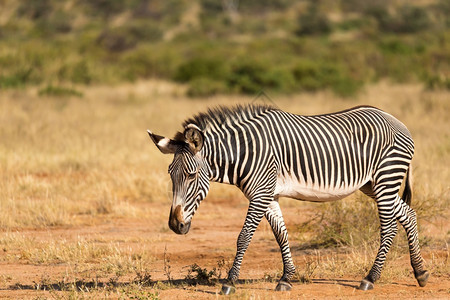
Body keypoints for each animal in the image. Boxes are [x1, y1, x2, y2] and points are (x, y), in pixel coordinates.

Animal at [148, 104, 428, 294]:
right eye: (170, 174)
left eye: (191, 175)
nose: (175, 225)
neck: (246, 153)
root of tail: (397, 121)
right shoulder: (268, 195)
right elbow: (281, 234)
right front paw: (286, 278)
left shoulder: (260, 194)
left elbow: (243, 237)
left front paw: (229, 282)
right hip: (372, 184)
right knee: (409, 214)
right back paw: (421, 272)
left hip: (386, 178)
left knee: (389, 227)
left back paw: (370, 278)